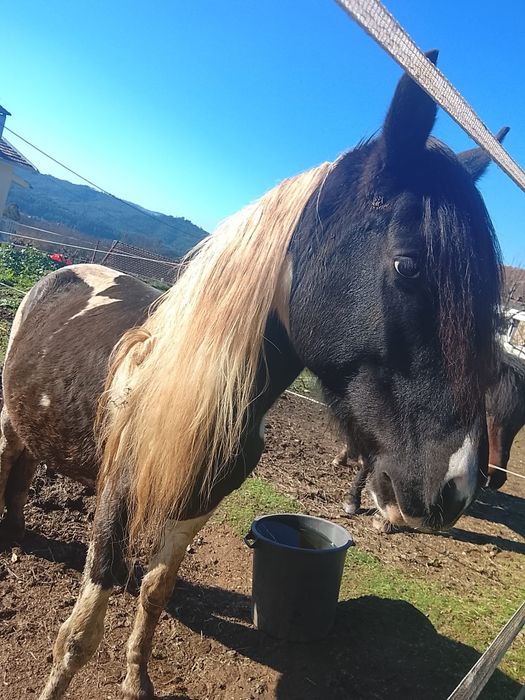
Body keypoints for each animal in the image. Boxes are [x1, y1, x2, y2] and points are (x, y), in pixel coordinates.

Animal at [0, 52, 504, 699]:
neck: (194, 388)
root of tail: (62, 270)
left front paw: (138, 682)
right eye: (408, 265)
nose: (456, 488)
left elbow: (155, 593)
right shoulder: (116, 498)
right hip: (10, 417)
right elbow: (79, 636)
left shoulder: (197, 503)